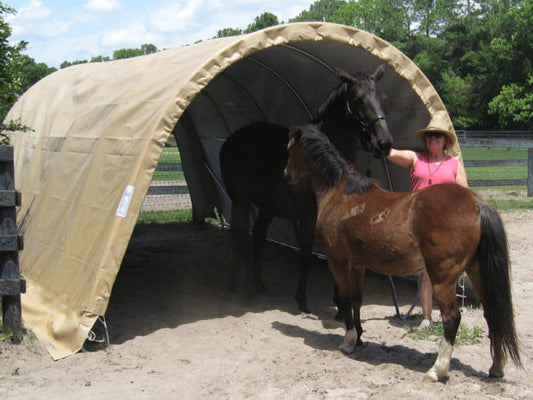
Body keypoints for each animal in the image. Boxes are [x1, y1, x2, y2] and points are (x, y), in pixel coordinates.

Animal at [218, 65, 392, 312]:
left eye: (383, 98)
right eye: (358, 100)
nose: (384, 144)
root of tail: (234, 139)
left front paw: (340, 303)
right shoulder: (309, 216)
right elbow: (306, 254)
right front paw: (302, 299)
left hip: (267, 206)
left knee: (258, 237)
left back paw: (257, 284)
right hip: (241, 200)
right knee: (242, 238)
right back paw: (245, 290)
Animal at [284, 124, 520, 382]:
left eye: (290, 148)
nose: (286, 174)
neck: (342, 193)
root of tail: (478, 204)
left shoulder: (338, 261)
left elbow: (345, 299)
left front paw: (348, 342)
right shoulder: (357, 264)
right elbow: (357, 299)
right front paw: (360, 337)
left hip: (443, 277)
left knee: (452, 318)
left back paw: (437, 369)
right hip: (476, 270)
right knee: (491, 313)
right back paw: (496, 366)